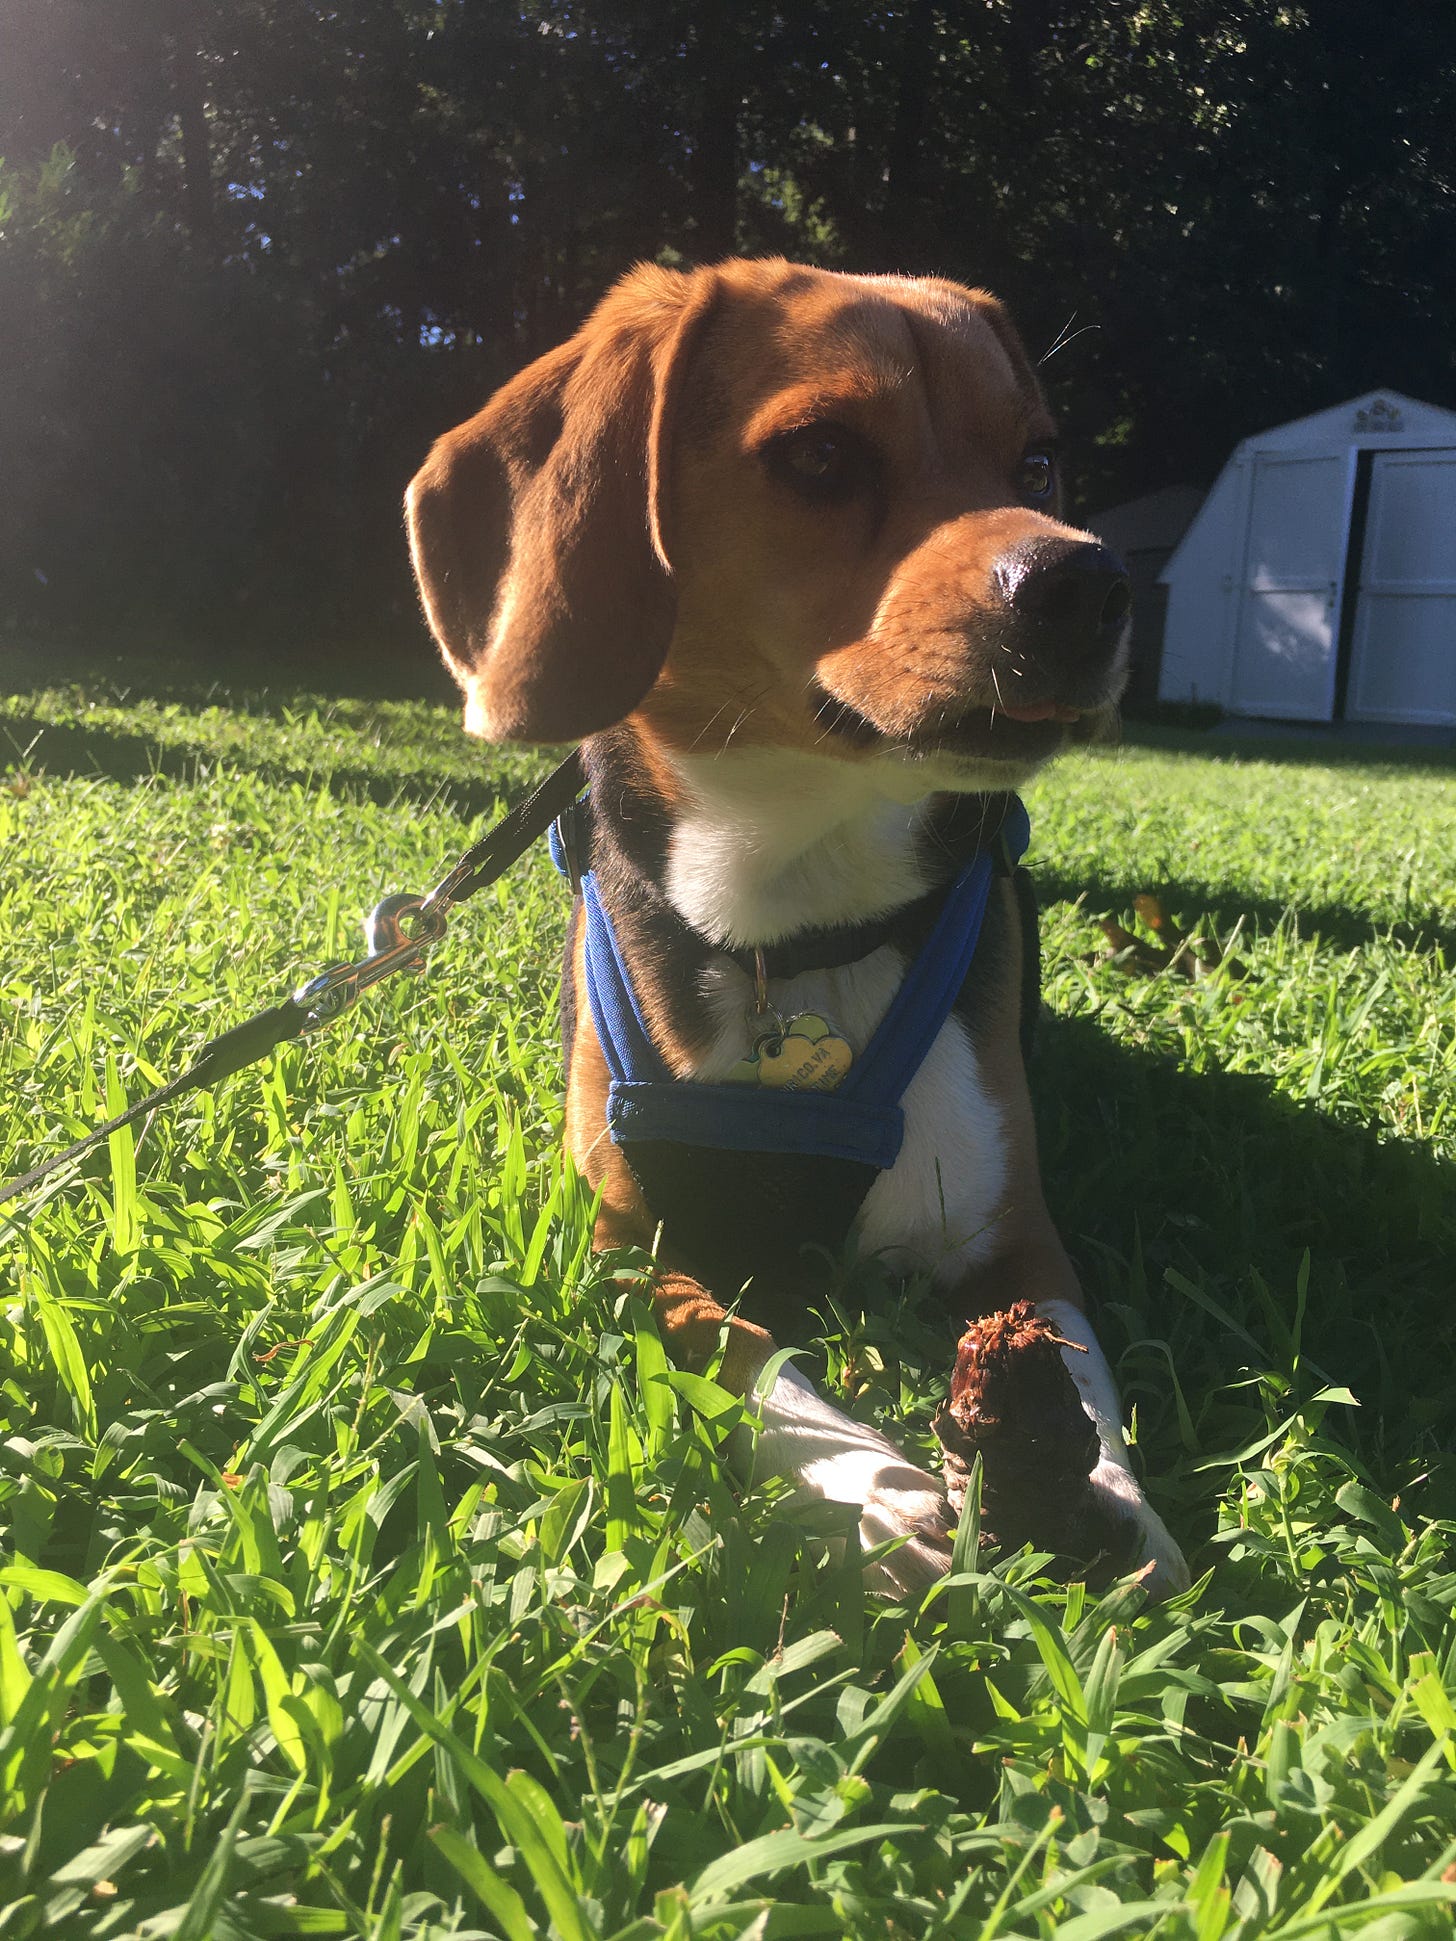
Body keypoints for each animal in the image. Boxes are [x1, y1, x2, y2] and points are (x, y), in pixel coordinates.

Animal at [405, 257, 1189, 1598]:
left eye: (1035, 462)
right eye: (820, 455)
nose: (1089, 583)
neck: (796, 915)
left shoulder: (1020, 1242)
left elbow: (1085, 1373)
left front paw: (1113, 1505)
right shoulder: (626, 1245)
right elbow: (757, 1364)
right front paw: (878, 1487)